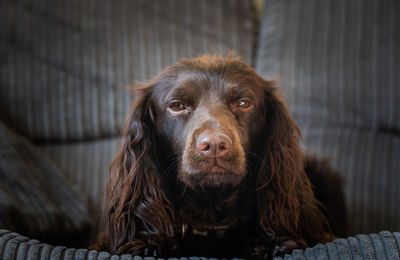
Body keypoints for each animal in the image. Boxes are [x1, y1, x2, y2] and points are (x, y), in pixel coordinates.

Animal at [95, 54, 346, 258]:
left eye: (243, 103)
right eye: (177, 105)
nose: (214, 145)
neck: (211, 213)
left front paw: (272, 242)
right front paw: (150, 241)